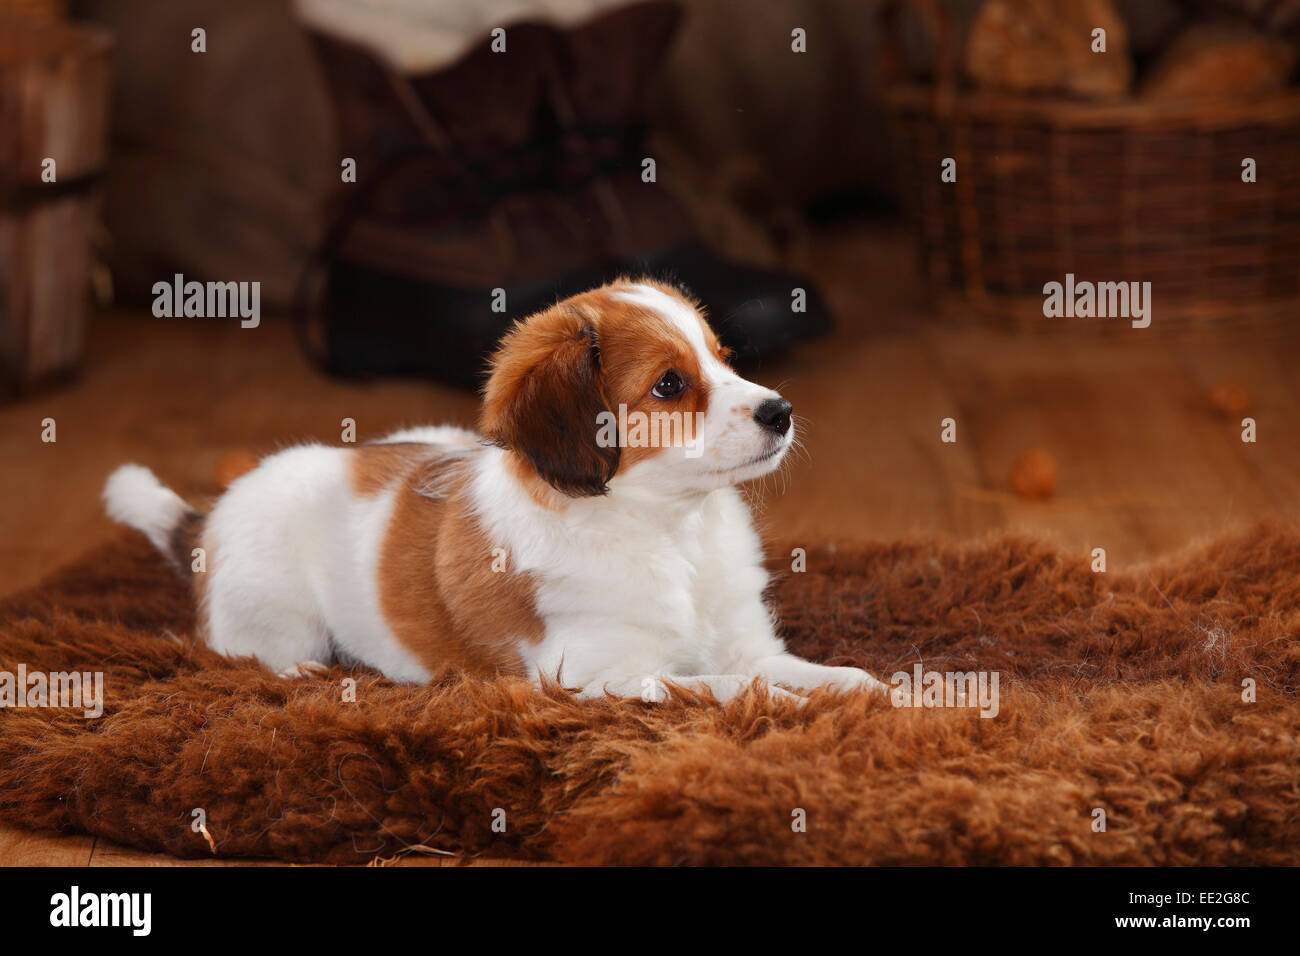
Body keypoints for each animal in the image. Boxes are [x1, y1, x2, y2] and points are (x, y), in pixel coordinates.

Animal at [106, 280, 889, 697]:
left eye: (725, 359)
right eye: (670, 385)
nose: (781, 411)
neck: (673, 534)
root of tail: (208, 518)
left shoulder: (741, 641)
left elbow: (812, 672)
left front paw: (871, 693)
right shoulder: (594, 675)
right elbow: (730, 689)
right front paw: (786, 707)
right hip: (275, 613)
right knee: (257, 653)